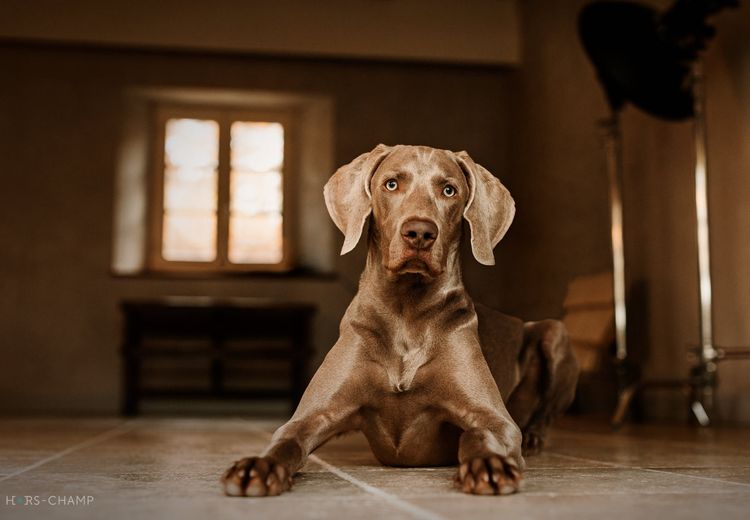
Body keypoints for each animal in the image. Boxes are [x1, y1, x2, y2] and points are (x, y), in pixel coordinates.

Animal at [220, 143, 580, 496]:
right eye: (391, 184)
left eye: (448, 190)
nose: (419, 232)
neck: (407, 311)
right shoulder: (313, 414)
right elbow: (286, 440)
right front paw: (259, 466)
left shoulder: (495, 419)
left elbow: (478, 434)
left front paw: (488, 464)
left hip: (554, 332)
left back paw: (533, 437)